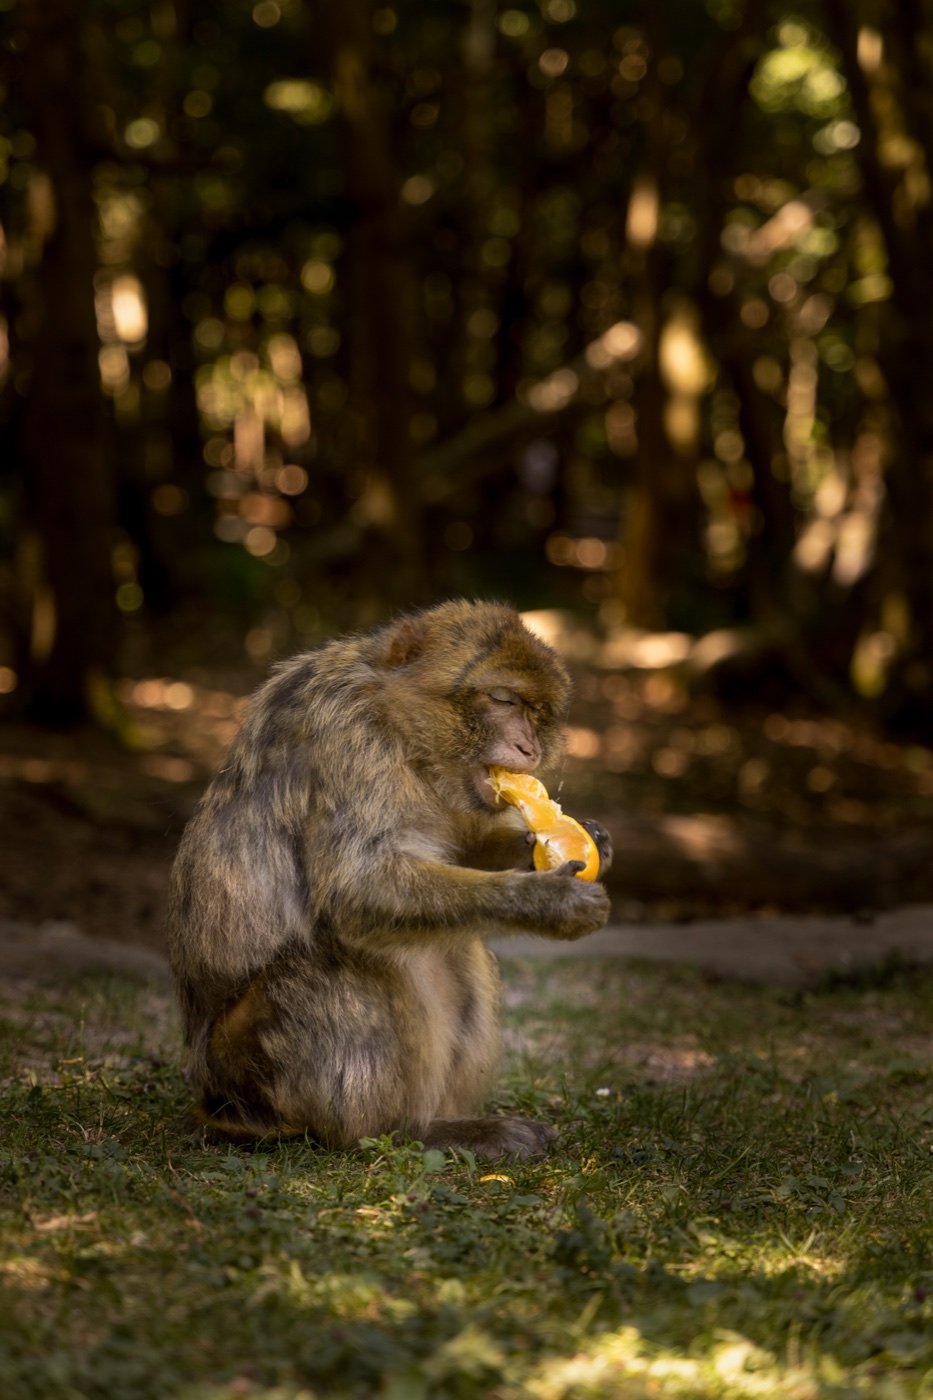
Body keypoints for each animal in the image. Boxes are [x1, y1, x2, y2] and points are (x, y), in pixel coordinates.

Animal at [167, 599, 613, 1160]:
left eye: (537, 713)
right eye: (503, 699)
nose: (528, 747)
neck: (403, 733)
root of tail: (218, 1100)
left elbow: (455, 851)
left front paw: (574, 842)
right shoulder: (347, 738)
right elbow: (358, 892)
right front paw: (545, 899)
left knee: (454, 944)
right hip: (253, 1066)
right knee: (332, 960)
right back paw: (403, 1131)